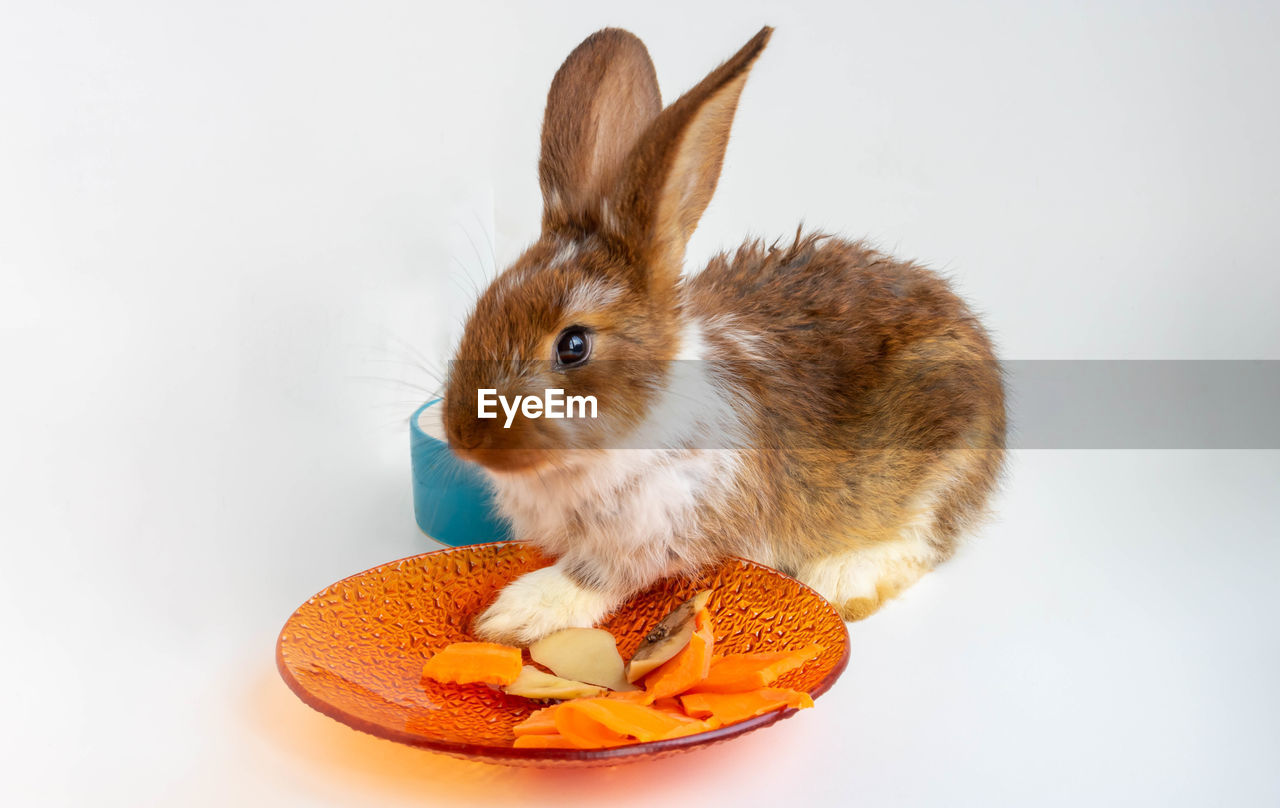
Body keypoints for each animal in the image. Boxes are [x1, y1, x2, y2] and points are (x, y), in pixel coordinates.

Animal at [442, 26, 1008, 645]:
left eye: (573, 345)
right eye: (483, 308)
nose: (463, 436)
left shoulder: (674, 522)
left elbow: (600, 574)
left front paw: (514, 614)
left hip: (945, 455)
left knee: (922, 538)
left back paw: (843, 580)